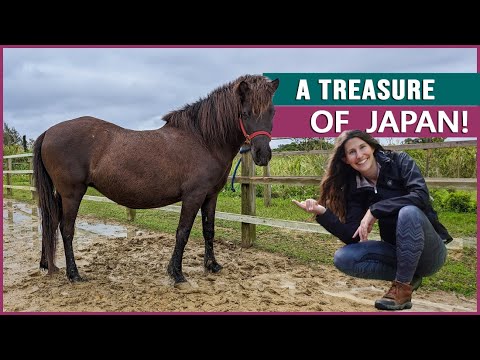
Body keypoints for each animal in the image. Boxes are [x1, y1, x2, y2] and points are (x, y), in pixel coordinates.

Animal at [33, 74, 280, 286]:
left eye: (272, 112)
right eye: (245, 113)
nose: (262, 154)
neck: (203, 140)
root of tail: (48, 132)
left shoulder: (210, 196)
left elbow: (208, 230)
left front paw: (212, 265)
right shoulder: (193, 196)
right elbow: (183, 232)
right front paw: (176, 273)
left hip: (60, 194)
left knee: (50, 222)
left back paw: (49, 265)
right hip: (72, 193)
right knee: (66, 229)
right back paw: (73, 274)